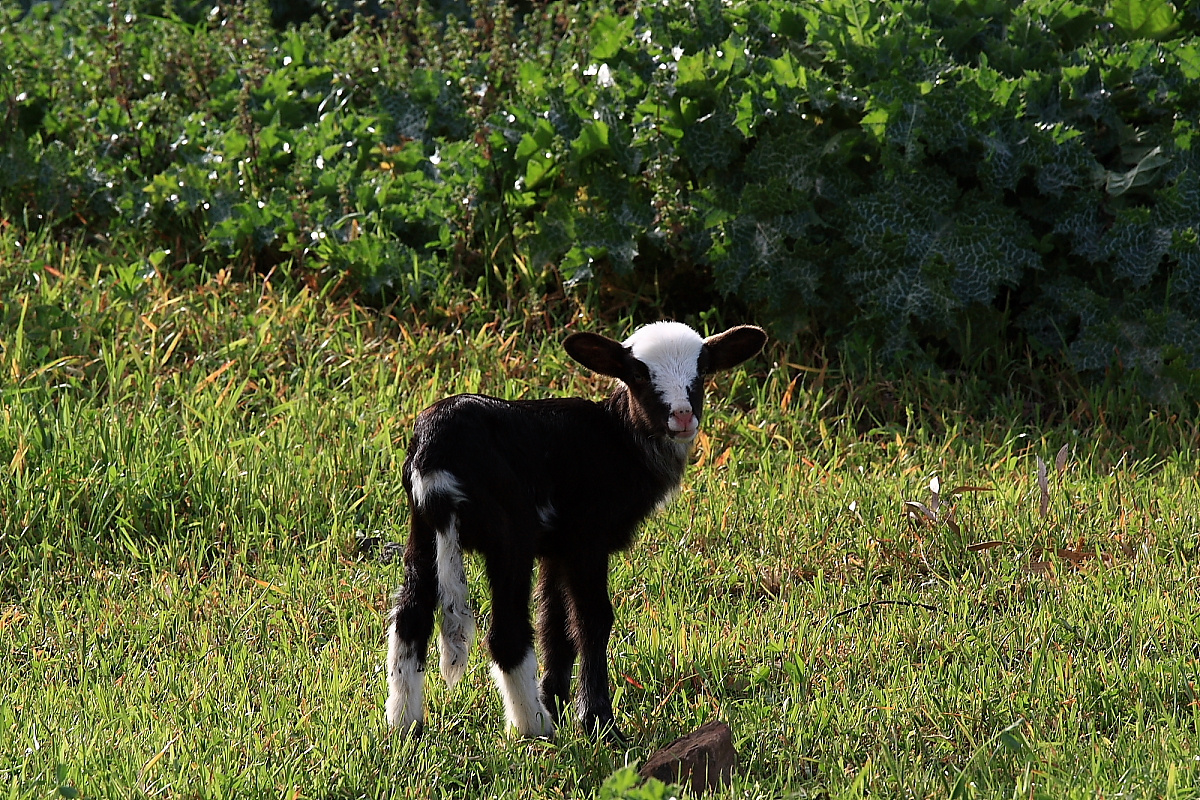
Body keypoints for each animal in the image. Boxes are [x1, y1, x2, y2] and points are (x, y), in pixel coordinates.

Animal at [384, 316, 768, 743]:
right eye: (638, 374)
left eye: (701, 372)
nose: (683, 416)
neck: (621, 439)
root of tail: (434, 452)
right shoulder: (587, 537)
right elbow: (592, 620)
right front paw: (597, 720)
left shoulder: (557, 545)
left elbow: (555, 622)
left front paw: (556, 698)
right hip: (509, 533)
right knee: (506, 633)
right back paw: (533, 727)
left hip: (423, 531)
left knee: (410, 621)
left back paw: (405, 726)